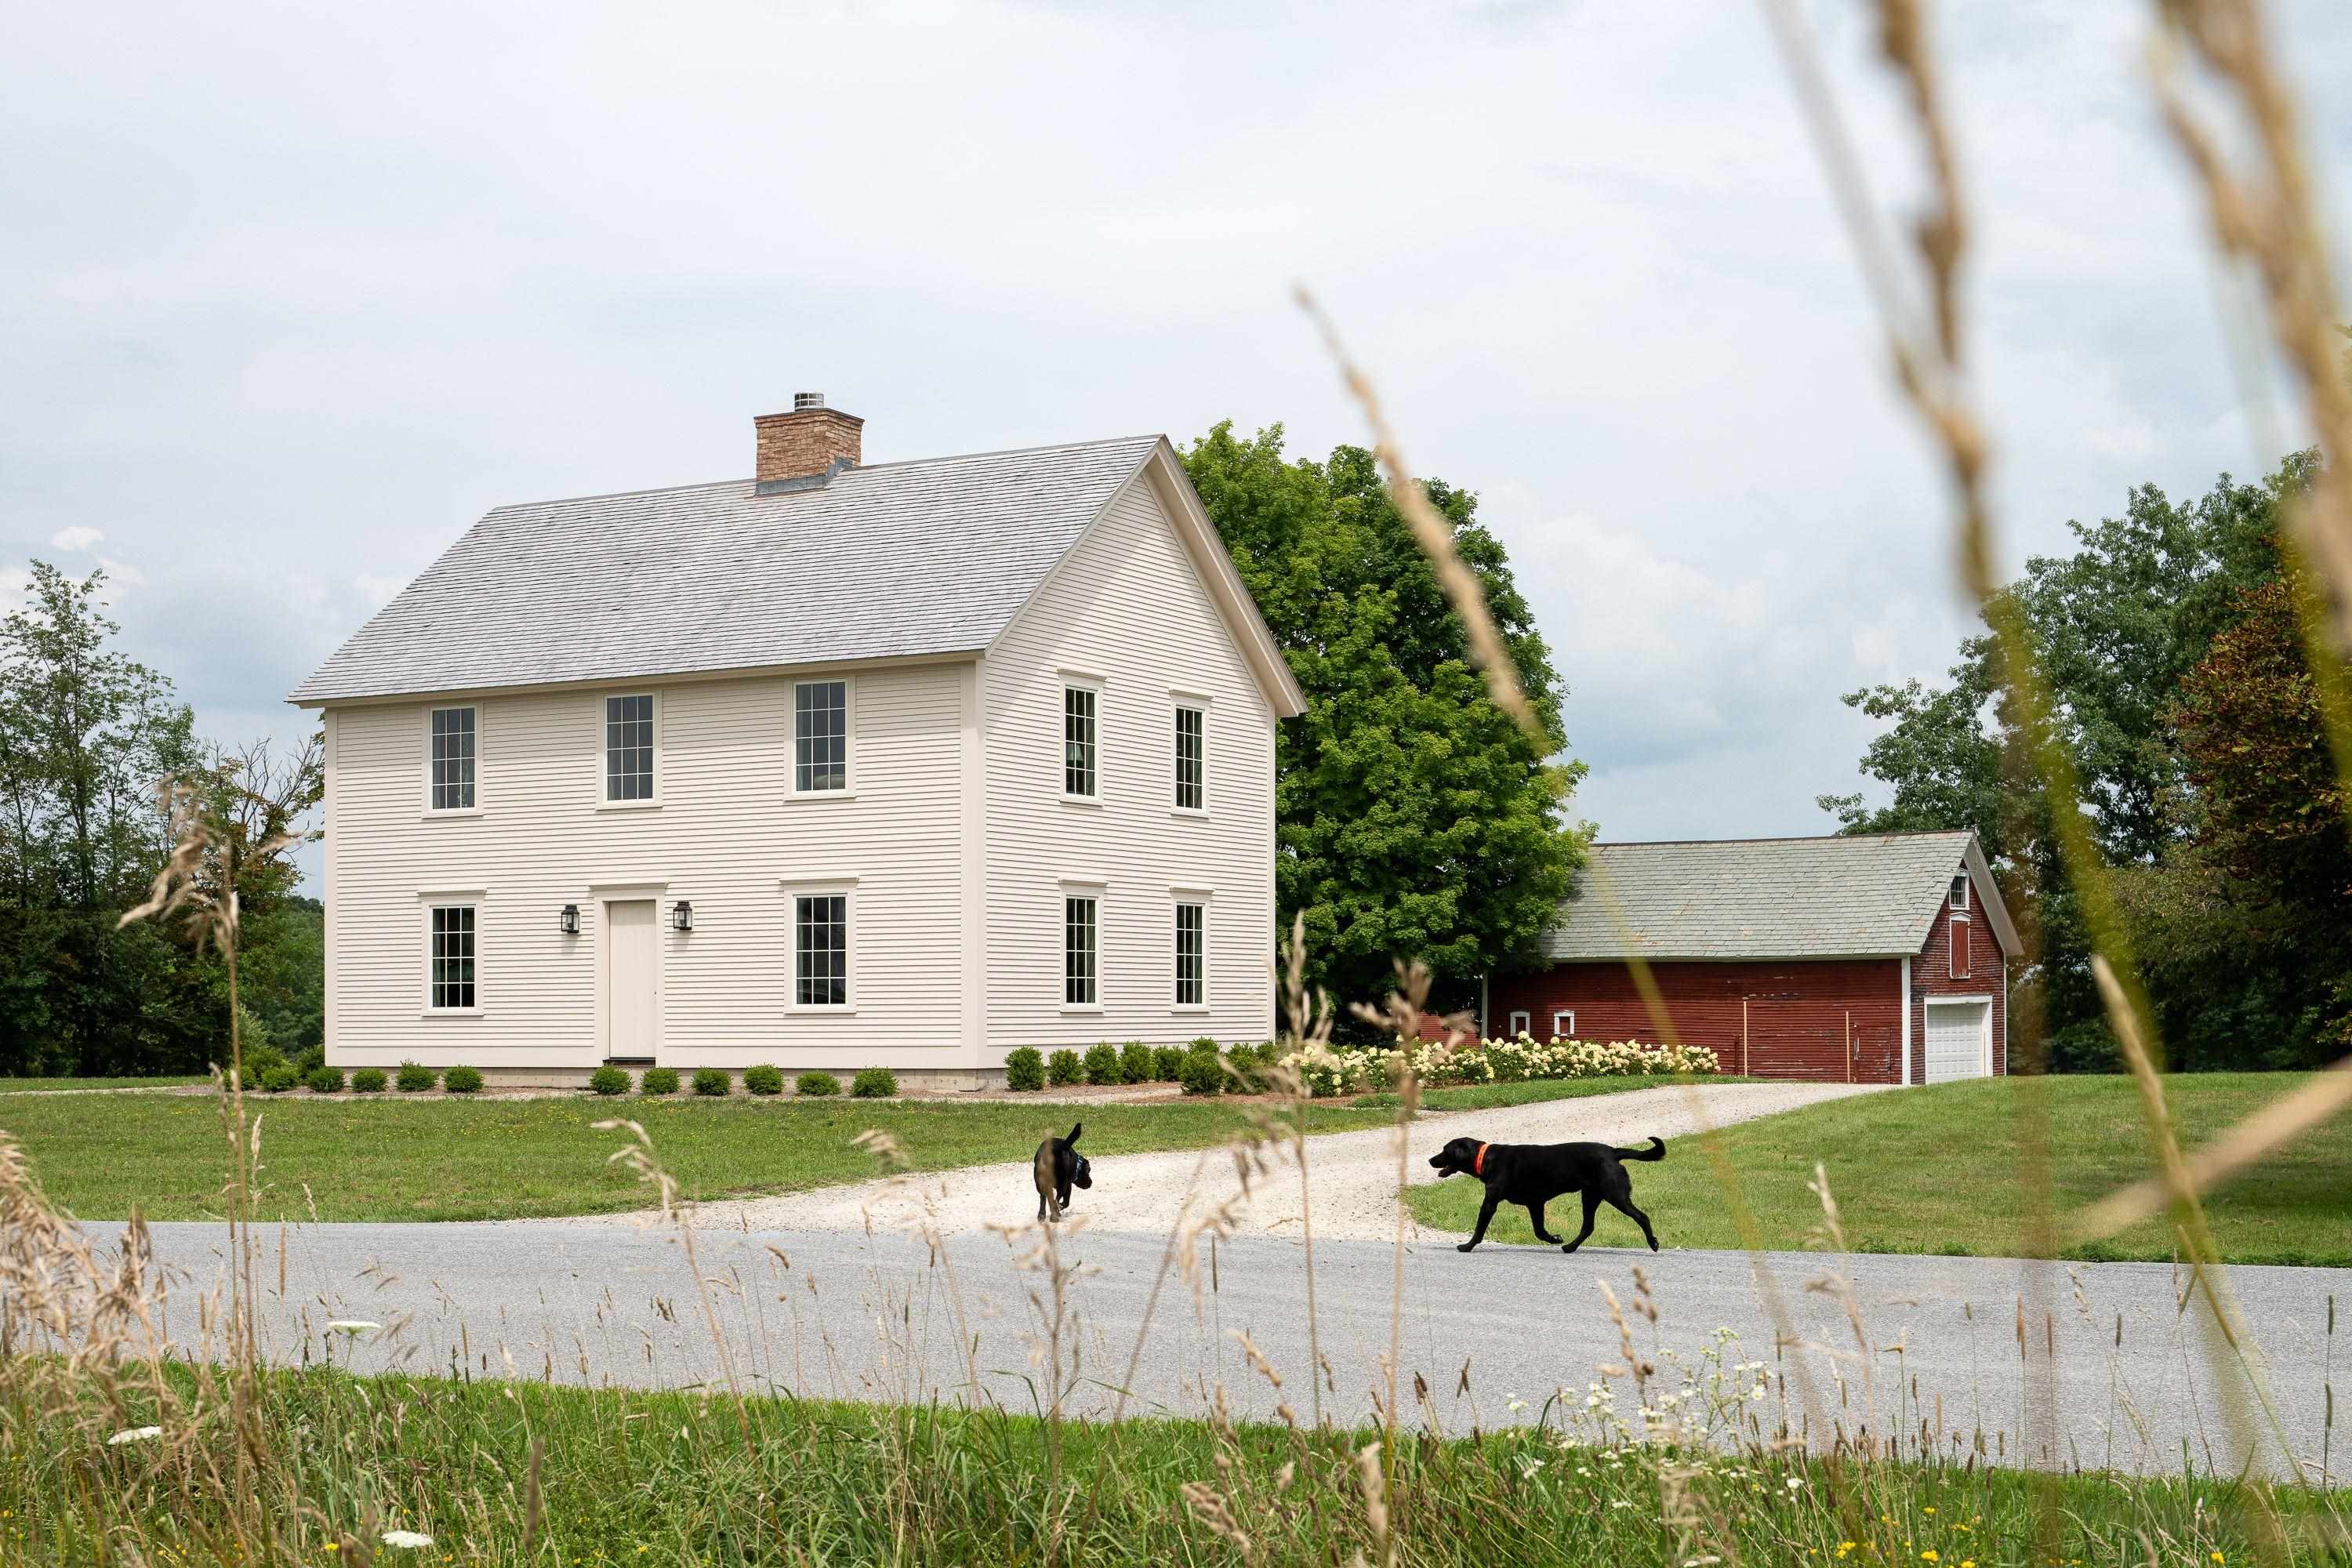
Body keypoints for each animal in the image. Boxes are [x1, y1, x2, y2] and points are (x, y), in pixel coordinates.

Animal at [1035, 1114, 1096, 1222]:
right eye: (1088, 1171)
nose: (1091, 1183)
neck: (1077, 1164)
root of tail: (1055, 1149)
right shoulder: (1068, 1185)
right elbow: (1066, 1202)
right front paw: (1060, 1208)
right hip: (1062, 1184)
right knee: (1055, 1200)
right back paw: (1055, 1216)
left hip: (1041, 1184)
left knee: (1044, 1198)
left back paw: (1042, 1215)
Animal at [1421, 1133, 1665, 1260]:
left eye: (1445, 1150)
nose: (1431, 1160)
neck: (1485, 1157)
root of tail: (1613, 1152)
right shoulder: (1535, 1204)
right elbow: (1539, 1231)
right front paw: (1554, 1238)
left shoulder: (1490, 1203)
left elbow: (1480, 1228)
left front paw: (1467, 1246)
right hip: (1590, 1196)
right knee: (1588, 1227)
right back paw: (1569, 1247)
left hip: (1615, 1194)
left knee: (1642, 1217)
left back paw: (1653, 1243)